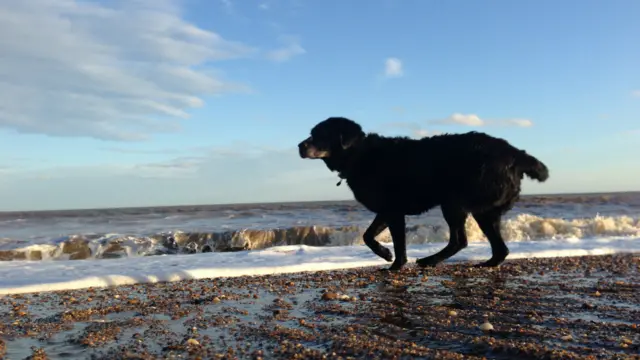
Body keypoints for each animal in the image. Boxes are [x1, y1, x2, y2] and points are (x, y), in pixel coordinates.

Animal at [298, 116, 548, 272]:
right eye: (312, 133)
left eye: (321, 134)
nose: (300, 146)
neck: (358, 154)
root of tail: (515, 154)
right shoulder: (387, 211)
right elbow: (368, 235)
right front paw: (385, 254)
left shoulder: (394, 211)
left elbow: (398, 243)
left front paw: (394, 264)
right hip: (484, 210)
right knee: (498, 248)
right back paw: (486, 263)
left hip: (454, 202)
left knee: (460, 240)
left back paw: (430, 260)